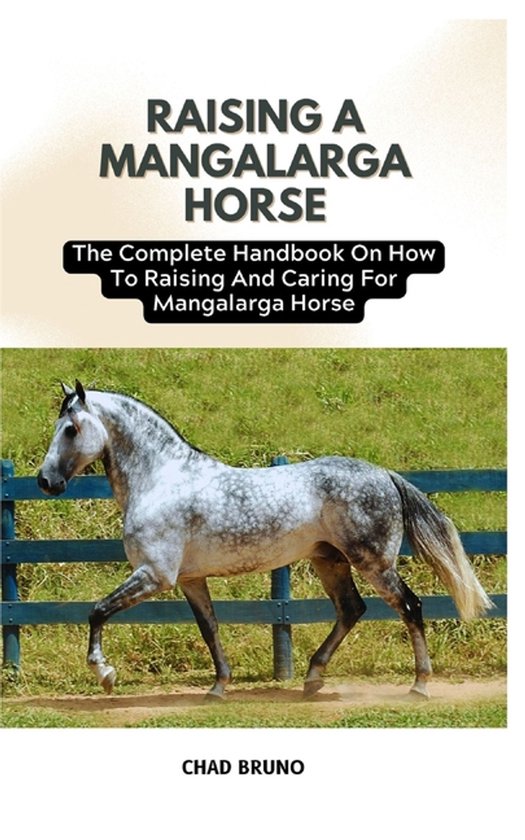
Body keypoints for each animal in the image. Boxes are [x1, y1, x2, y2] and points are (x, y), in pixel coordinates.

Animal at [37, 380, 493, 700]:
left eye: (71, 429)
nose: (45, 481)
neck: (163, 479)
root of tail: (383, 473)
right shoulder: (189, 580)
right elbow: (210, 628)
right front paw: (218, 688)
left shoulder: (154, 575)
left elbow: (97, 611)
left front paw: (105, 674)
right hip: (329, 561)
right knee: (351, 609)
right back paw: (312, 679)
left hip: (374, 563)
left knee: (410, 607)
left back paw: (419, 685)